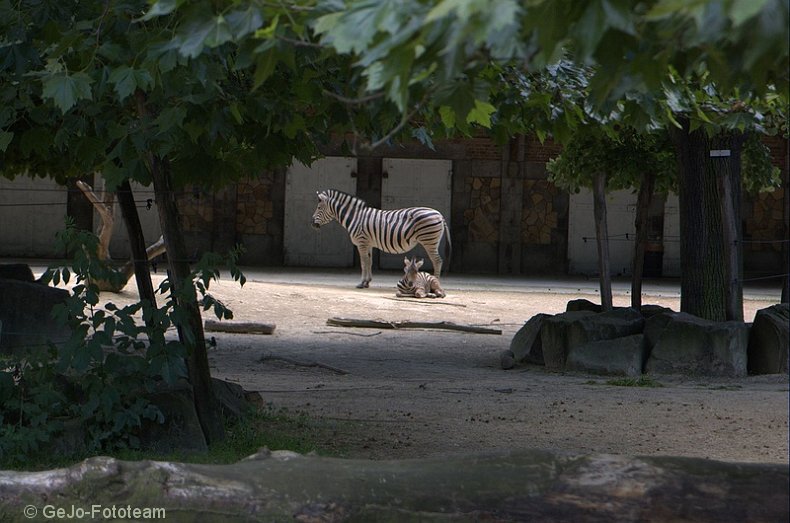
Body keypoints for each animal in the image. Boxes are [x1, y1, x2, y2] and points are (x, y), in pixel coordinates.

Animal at [312, 189, 454, 288]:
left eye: (319, 208)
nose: (313, 224)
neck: (355, 217)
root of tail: (439, 214)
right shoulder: (368, 243)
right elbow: (369, 262)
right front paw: (367, 282)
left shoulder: (361, 242)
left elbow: (363, 263)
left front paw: (361, 283)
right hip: (432, 240)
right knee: (438, 261)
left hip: (429, 240)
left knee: (437, 261)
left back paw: (436, 283)